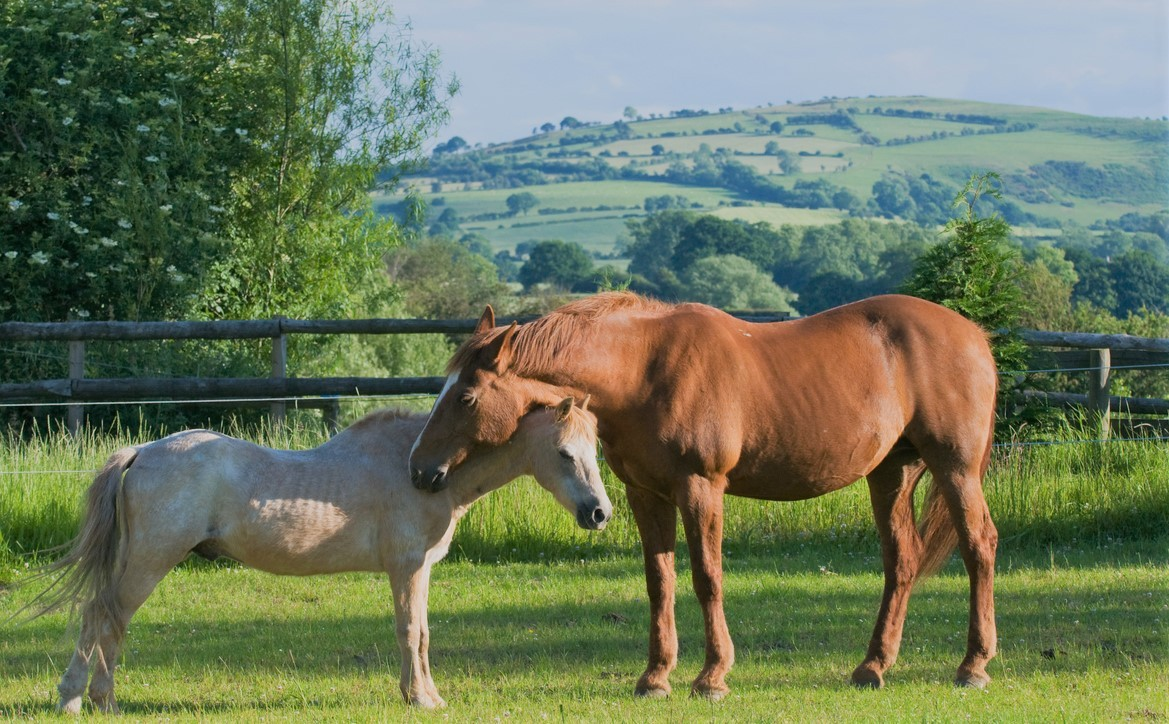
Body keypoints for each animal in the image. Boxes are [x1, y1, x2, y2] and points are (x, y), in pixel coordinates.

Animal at [25, 400, 612, 715]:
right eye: (565, 453)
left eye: (595, 450)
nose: (600, 512)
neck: (424, 471)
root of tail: (143, 452)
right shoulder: (407, 567)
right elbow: (410, 631)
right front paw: (421, 699)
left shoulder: (419, 571)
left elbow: (421, 632)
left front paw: (424, 695)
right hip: (150, 560)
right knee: (103, 616)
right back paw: (80, 699)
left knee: (108, 620)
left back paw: (99, 700)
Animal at [409, 291, 995, 701]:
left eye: (465, 397)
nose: (419, 470)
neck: (643, 370)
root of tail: (975, 335)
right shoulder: (646, 494)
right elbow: (659, 583)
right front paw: (654, 677)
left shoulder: (700, 488)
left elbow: (706, 577)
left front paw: (712, 676)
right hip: (892, 473)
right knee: (902, 561)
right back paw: (872, 667)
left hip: (955, 468)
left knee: (979, 547)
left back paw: (973, 666)